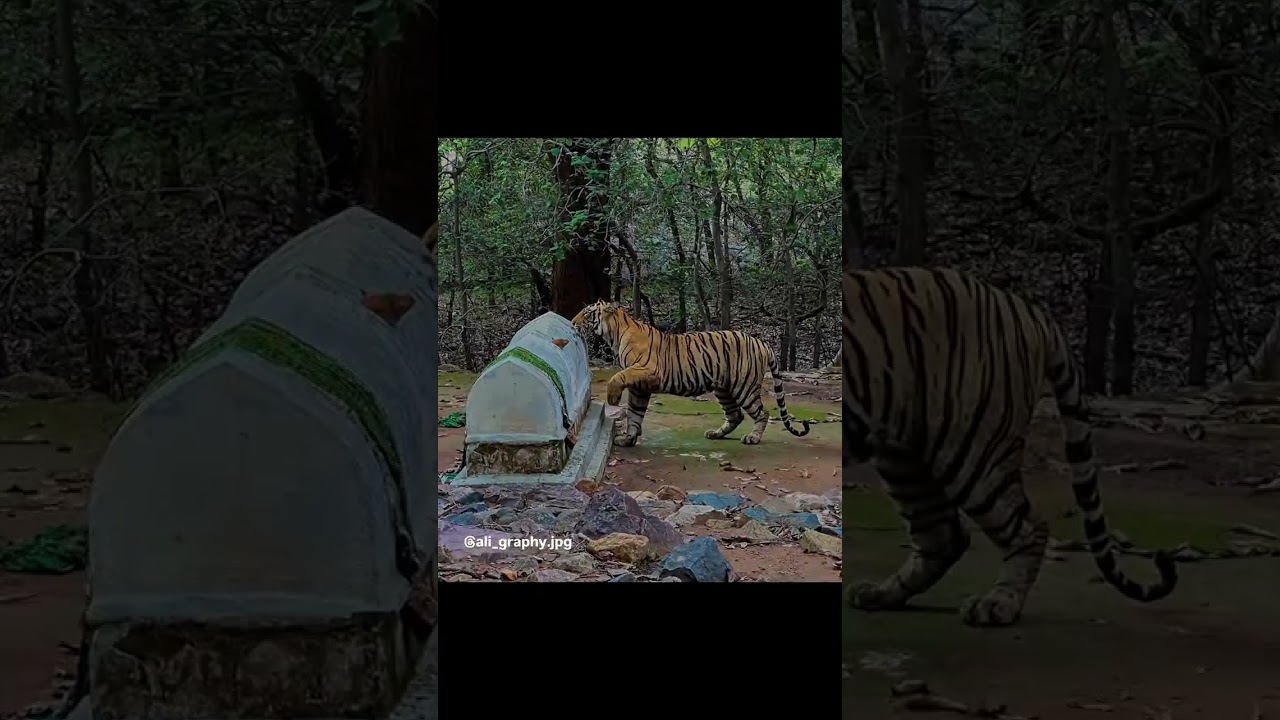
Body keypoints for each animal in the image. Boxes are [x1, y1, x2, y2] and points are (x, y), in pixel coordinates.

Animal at [570, 300, 812, 446]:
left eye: (587, 314)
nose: (572, 322)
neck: (615, 334)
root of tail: (762, 342)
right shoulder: (641, 387)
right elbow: (635, 415)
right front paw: (628, 440)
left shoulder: (647, 371)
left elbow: (617, 378)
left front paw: (612, 398)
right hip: (724, 389)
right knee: (736, 415)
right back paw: (716, 434)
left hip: (744, 387)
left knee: (762, 413)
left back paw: (752, 437)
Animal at [843, 267, 1177, 626]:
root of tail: (1027, 307)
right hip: (905, 458)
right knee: (942, 535)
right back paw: (880, 594)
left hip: (971, 450)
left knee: (1028, 528)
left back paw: (998, 603)